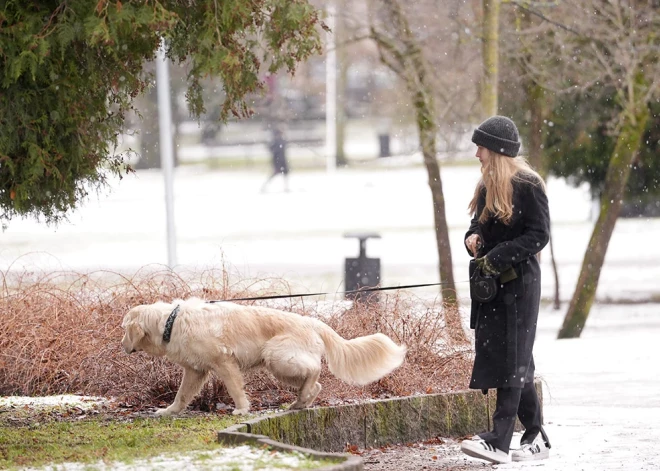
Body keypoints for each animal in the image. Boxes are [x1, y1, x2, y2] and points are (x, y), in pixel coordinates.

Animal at [120, 298, 404, 416]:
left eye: (124, 330)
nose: (122, 346)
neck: (171, 321)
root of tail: (313, 322)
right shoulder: (195, 371)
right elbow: (181, 395)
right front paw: (168, 411)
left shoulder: (224, 362)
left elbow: (235, 389)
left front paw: (241, 409)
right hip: (281, 365)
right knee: (316, 384)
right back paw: (299, 403)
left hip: (277, 356)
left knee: (315, 373)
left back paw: (301, 399)